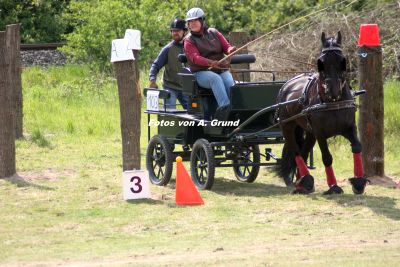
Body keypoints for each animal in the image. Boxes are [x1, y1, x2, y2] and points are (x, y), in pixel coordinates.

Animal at [276, 30, 368, 195]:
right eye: (321, 61)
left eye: (342, 60)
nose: (333, 89)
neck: (332, 102)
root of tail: (287, 85)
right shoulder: (320, 134)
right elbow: (327, 157)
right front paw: (334, 186)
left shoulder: (349, 128)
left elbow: (357, 147)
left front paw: (358, 182)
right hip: (287, 126)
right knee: (296, 151)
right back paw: (304, 181)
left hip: (309, 132)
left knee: (304, 153)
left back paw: (302, 183)